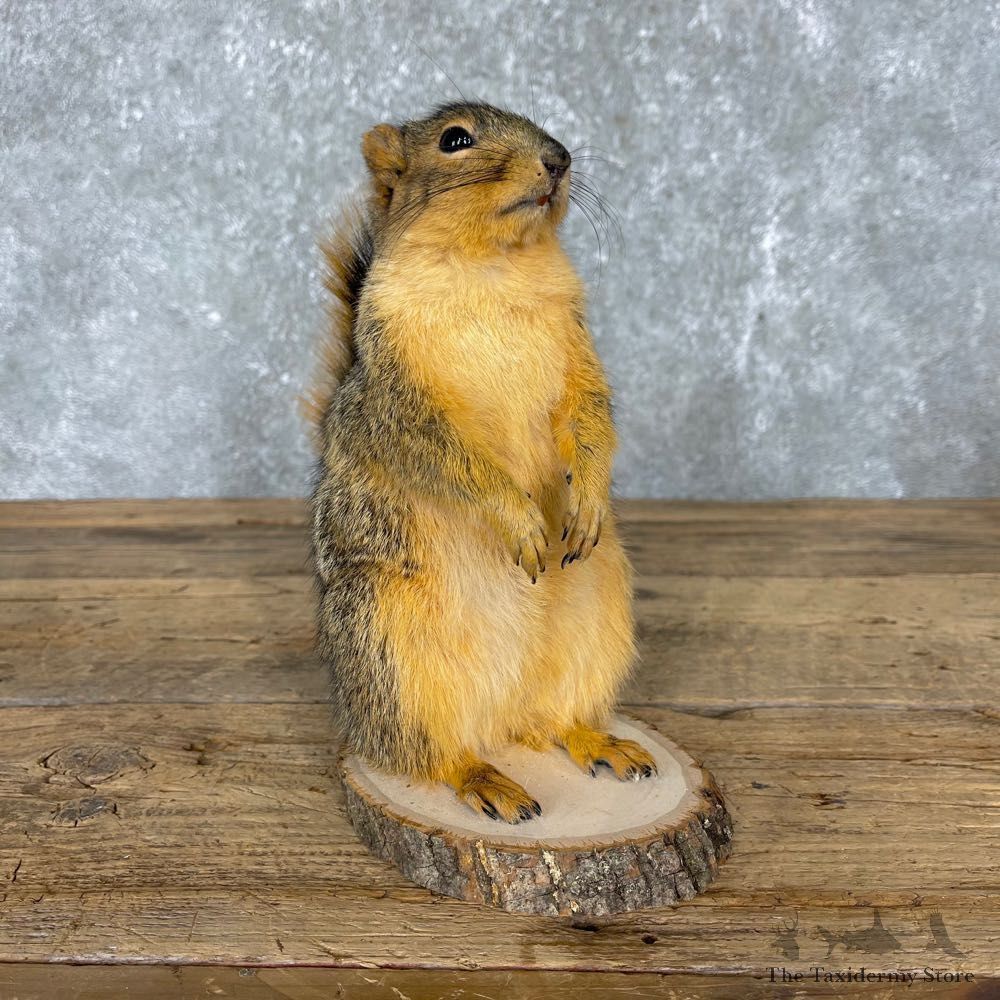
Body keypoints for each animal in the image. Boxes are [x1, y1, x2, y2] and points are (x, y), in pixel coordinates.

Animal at [305, 101, 656, 824]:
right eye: (455, 140)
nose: (558, 158)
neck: (493, 267)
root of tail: (499, 718)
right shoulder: (396, 394)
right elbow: (443, 454)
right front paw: (516, 518)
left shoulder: (579, 345)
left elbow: (590, 413)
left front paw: (589, 496)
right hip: (387, 647)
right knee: (428, 753)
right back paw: (482, 779)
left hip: (597, 618)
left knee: (550, 722)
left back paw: (597, 740)